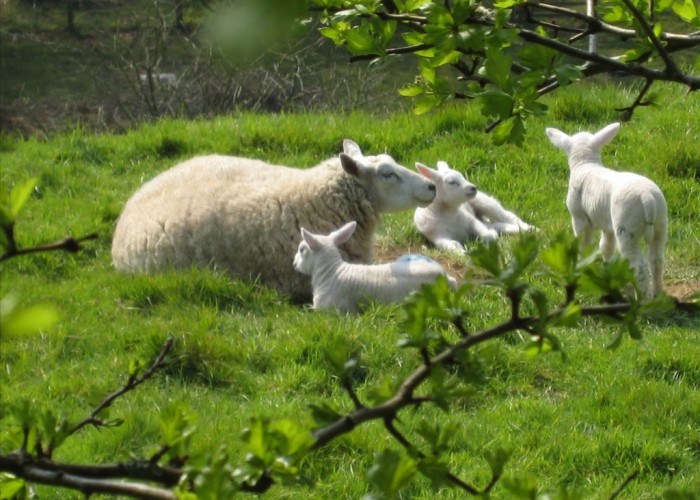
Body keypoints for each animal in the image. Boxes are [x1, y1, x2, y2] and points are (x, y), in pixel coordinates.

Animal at [548, 122, 668, 298]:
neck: (585, 164)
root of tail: (647, 199)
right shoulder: (607, 224)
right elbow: (606, 246)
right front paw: (608, 271)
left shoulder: (579, 218)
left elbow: (583, 244)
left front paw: (582, 267)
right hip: (661, 222)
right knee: (657, 259)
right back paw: (657, 293)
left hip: (627, 226)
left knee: (638, 266)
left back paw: (641, 298)